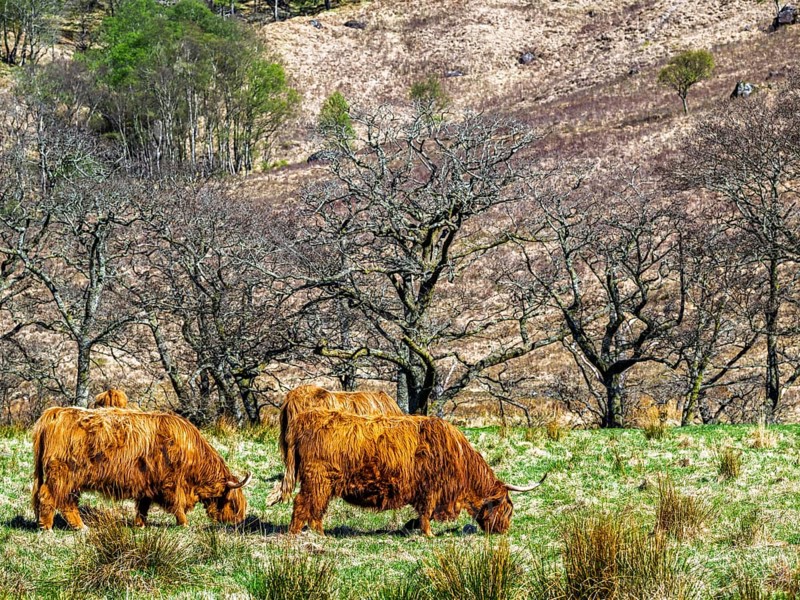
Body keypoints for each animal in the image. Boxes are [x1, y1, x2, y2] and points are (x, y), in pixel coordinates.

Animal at [32, 407, 251, 530]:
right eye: (232, 503)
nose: (237, 521)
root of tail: (55, 413)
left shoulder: (148, 484)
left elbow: (143, 507)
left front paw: (140, 525)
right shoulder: (171, 484)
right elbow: (177, 506)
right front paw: (185, 524)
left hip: (70, 479)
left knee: (67, 502)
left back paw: (78, 526)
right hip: (62, 474)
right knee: (50, 497)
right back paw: (50, 527)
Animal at [283, 409, 545, 536]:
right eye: (507, 509)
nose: (504, 531)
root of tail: (306, 418)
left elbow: (422, 514)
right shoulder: (432, 489)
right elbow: (426, 514)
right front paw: (428, 535)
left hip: (322, 484)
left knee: (315, 509)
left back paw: (317, 534)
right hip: (317, 479)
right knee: (304, 504)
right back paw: (302, 536)